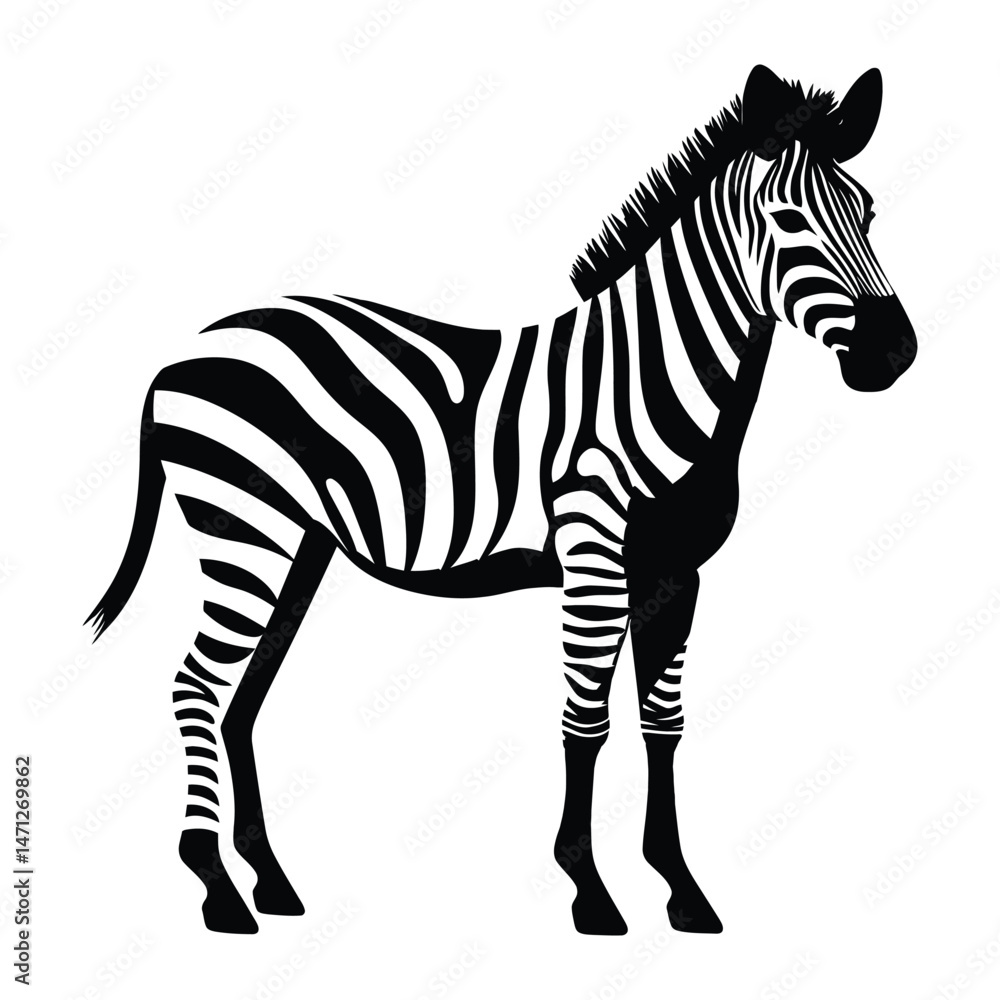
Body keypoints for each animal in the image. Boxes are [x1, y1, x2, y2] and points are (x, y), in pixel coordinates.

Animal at [86, 64, 916, 936]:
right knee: (196, 687)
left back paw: (271, 883)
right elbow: (586, 719)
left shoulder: (675, 572)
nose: (894, 352)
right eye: (788, 220)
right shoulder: (593, 551)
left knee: (239, 701)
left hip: (298, 547)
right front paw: (590, 890)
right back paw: (216, 887)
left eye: (867, 213)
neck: (649, 373)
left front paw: (681, 890)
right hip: (245, 529)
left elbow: (663, 723)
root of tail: (188, 350)